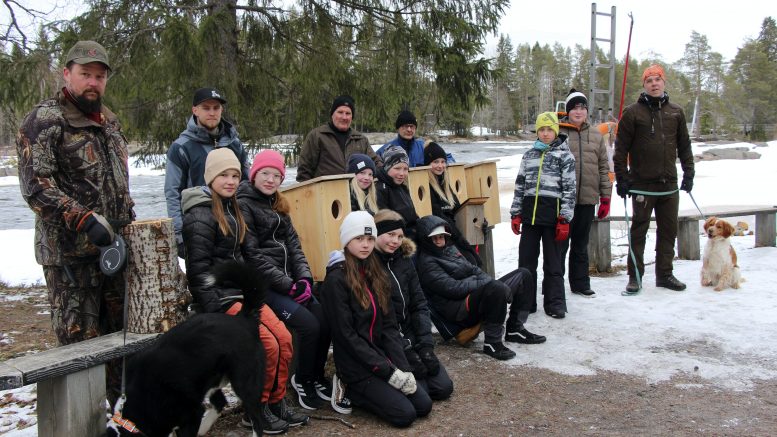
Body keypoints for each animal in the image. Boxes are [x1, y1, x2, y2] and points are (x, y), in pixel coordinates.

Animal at [107, 260, 266, 434]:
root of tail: (242, 318)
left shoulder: (191, 413)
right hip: (212, 379)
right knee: (220, 402)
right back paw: (204, 428)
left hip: (243, 382)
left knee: (257, 419)